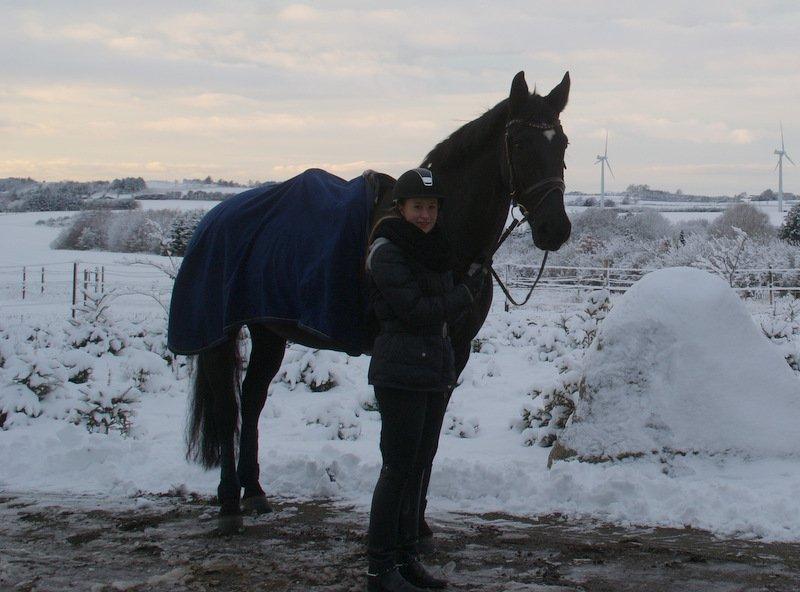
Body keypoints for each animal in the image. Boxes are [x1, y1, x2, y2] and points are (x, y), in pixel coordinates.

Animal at [178, 70, 572, 532]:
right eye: (520, 144)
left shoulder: (453, 354)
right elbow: (407, 445)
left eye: (562, 144)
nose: (555, 228)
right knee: (227, 409)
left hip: (268, 331)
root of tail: (214, 218)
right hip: (220, 335)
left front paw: (416, 526)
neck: (436, 239)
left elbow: (428, 445)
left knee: (253, 398)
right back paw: (228, 502)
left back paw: (254, 490)